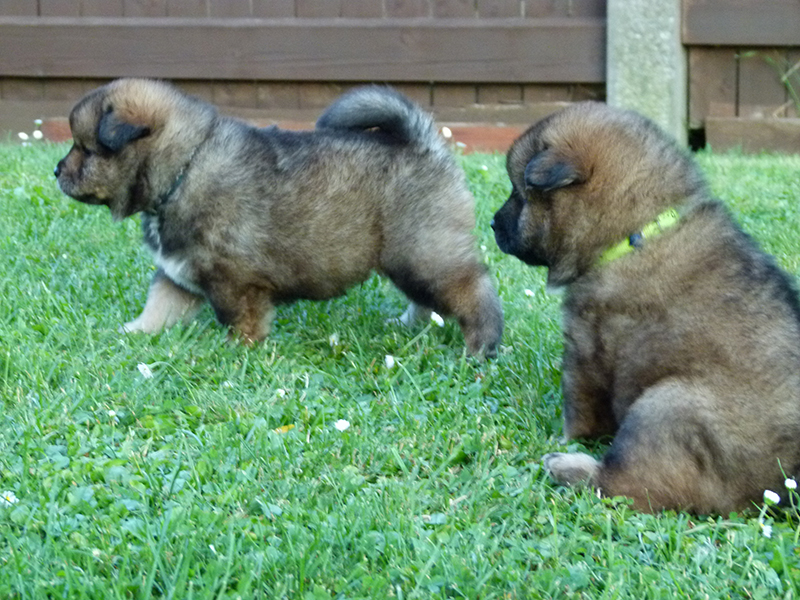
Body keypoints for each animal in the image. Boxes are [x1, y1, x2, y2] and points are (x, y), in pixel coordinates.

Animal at [55, 79, 503, 357]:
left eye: (86, 150)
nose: (57, 171)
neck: (184, 169)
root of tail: (424, 144)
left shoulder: (234, 282)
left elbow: (240, 320)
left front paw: (238, 349)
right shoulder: (176, 272)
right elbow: (158, 307)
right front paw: (133, 333)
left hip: (424, 252)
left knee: (473, 289)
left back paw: (481, 346)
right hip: (408, 257)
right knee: (425, 298)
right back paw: (409, 325)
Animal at [492, 101, 800, 513]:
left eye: (519, 193)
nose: (492, 224)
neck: (632, 235)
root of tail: (775, 490)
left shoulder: (585, 348)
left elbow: (579, 409)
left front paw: (562, 440)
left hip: (664, 406)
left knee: (625, 485)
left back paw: (567, 466)